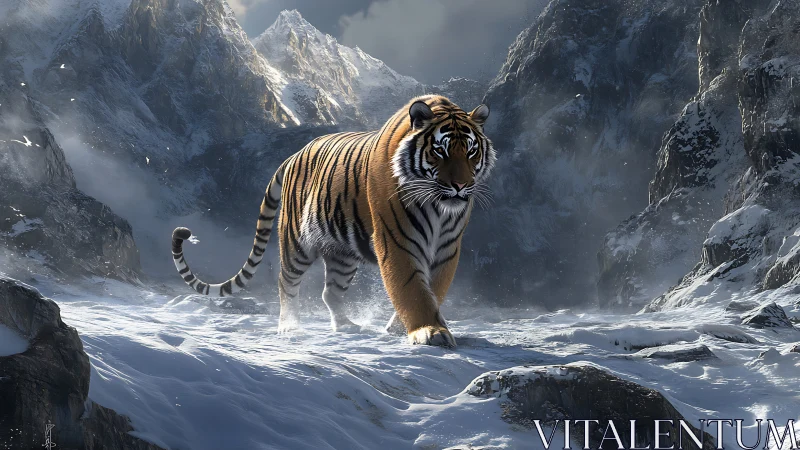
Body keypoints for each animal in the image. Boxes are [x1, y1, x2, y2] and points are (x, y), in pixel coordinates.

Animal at [171, 95, 495, 347]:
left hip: (342, 254)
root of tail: (294, 154)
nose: (460, 186)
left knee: (330, 292)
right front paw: (429, 332)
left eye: (471, 151)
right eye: (440, 150)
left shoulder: (447, 247)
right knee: (286, 282)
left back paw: (346, 326)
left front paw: (399, 327)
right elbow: (411, 287)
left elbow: (434, 289)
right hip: (297, 242)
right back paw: (289, 326)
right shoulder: (397, 240)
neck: (439, 209)